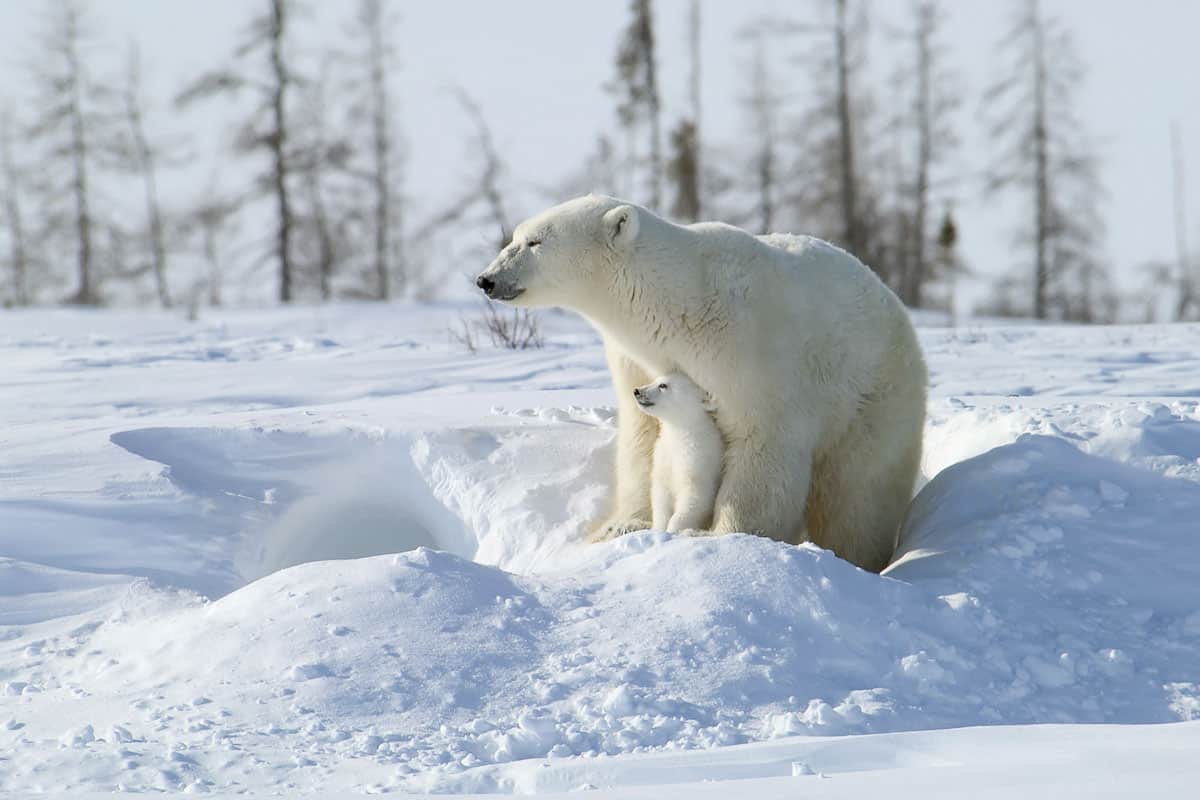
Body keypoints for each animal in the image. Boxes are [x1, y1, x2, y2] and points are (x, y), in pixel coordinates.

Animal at [638, 374, 720, 534]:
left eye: (663, 385)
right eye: (655, 380)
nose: (637, 391)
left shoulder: (699, 460)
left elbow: (695, 498)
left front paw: (673, 531)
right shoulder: (664, 456)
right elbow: (660, 496)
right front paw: (658, 529)